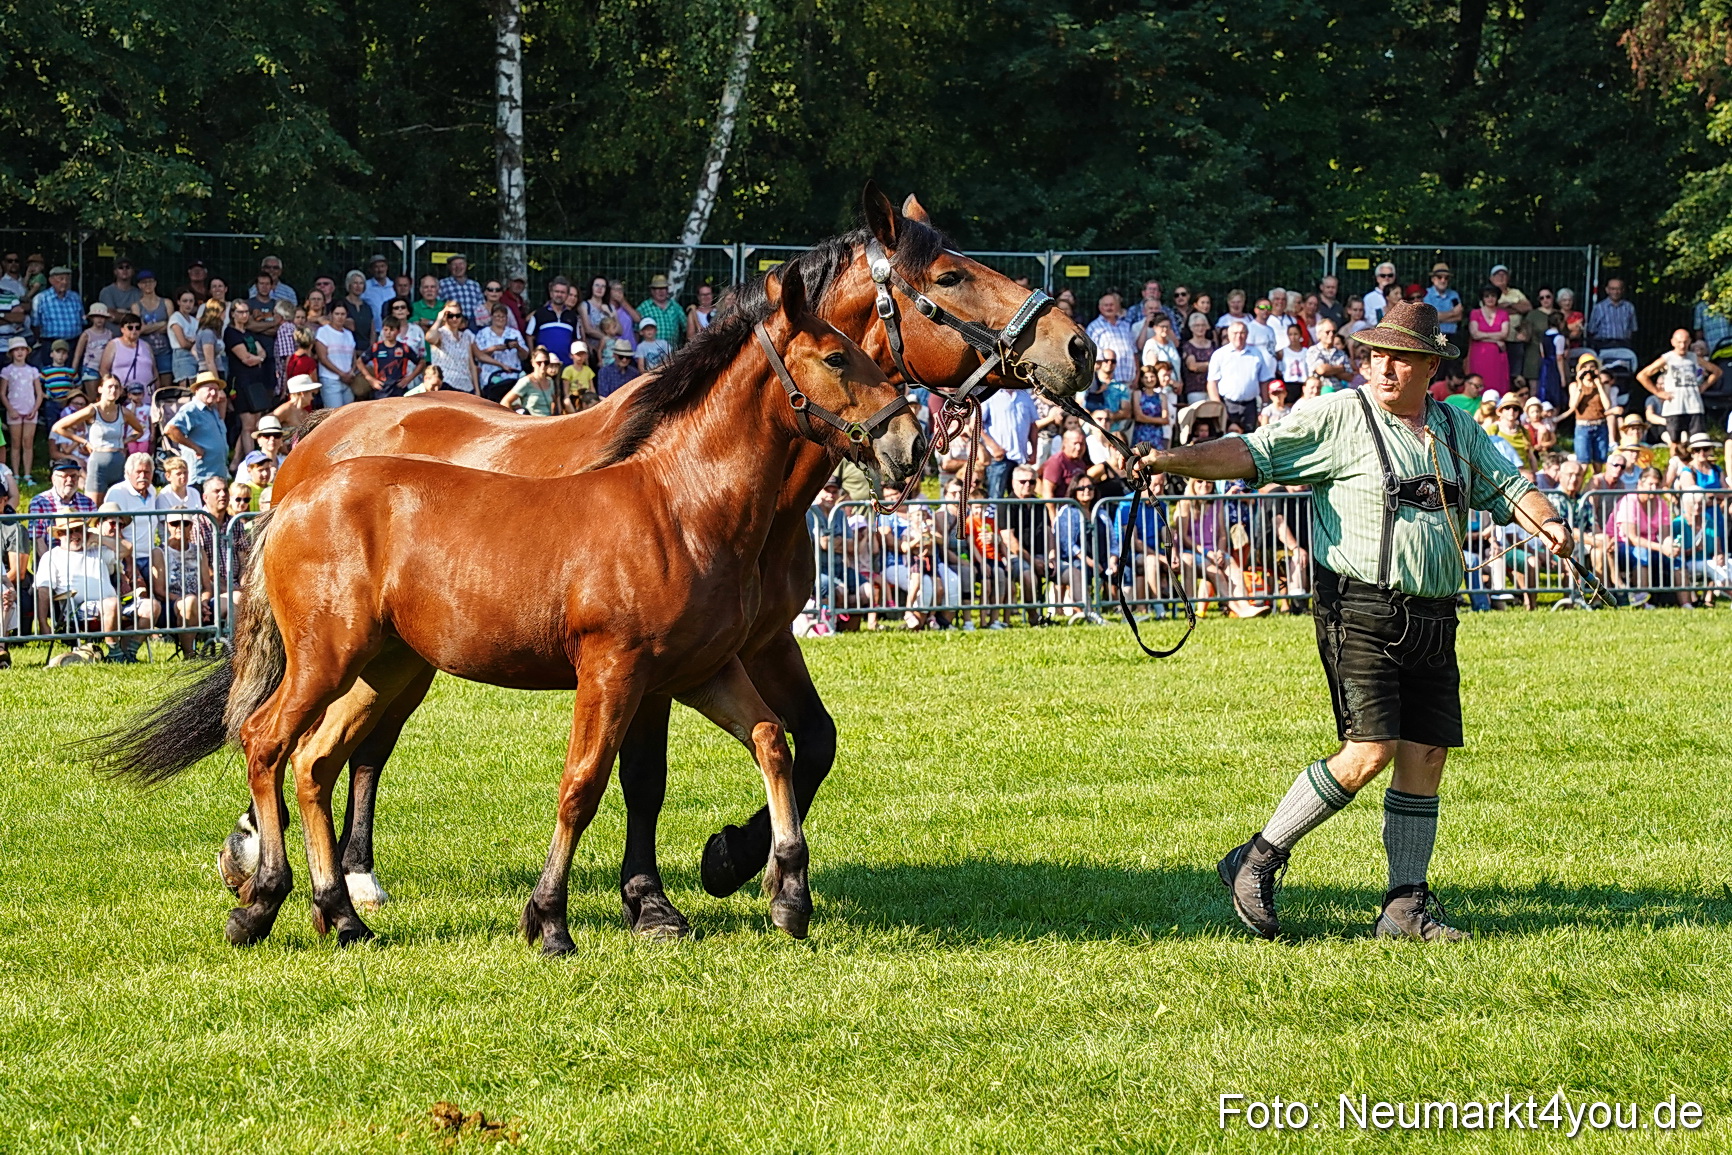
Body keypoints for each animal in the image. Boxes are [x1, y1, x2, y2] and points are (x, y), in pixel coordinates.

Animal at [95, 262, 925, 952]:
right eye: (837, 357)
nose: (910, 444)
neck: (679, 503)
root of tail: (292, 496)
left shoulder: (696, 672)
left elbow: (772, 740)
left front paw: (785, 891)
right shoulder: (613, 670)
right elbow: (582, 785)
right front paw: (550, 919)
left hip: (381, 666)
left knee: (316, 760)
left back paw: (342, 913)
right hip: (326, 658)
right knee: (267, 741)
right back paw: (263, 901)